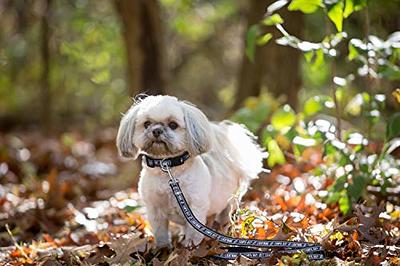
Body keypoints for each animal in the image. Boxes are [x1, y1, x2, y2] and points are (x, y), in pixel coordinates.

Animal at [115, 95, 266, 247]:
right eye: (146, 124)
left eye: (173, 125)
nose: (156, 130)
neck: (168, 167)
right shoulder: (154, 208)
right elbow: (160, 231)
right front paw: (163, 247)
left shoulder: (195, 206)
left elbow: (194, 230)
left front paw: (190, 244)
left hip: (231, 200)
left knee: (225, 214)